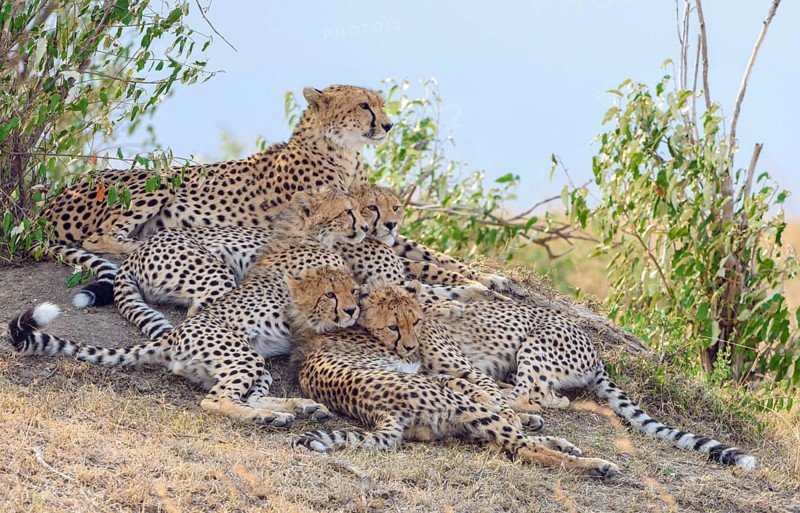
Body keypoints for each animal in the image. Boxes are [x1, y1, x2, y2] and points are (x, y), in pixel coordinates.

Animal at [8, 265, 361, 427]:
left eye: (353, 291)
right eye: (331, 294)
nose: (351, 309)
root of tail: (174, 333)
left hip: (253, 363)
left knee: (249, 396)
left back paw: (297, 408)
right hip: (244, 356)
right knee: (215, 400)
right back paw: (268, 417)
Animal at [41, 84, 391, 259]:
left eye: (381, 104)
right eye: (364, 105)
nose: (388, 125)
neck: (344, 151)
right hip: (161, 179)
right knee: (96, 239)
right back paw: (143, 244)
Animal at [290, 280, 619, 477]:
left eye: (415, 322)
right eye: (393, 327)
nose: (409, 346)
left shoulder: (444, 372)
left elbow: (482, 388)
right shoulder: (434, 375)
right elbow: (486, 394)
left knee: (519, 418)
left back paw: (561, 442)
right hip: (462, 408)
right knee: (522, 440)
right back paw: (595, 464)